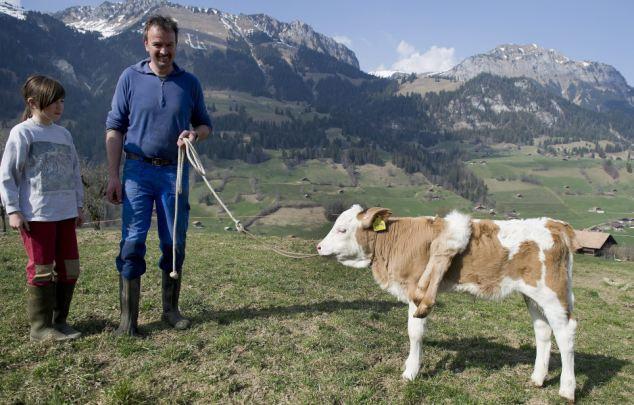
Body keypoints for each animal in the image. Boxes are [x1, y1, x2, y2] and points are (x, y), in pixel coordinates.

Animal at [316, 205, 576, 400]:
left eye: (342, 229)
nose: (318, 246)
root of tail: (553, 224)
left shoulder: (416, 291)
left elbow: (415, 332)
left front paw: (411, 372)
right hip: (533, 296)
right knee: (543, 331)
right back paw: (538, 378)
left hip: (553, 293)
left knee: (565, 334)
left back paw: (567, 389)